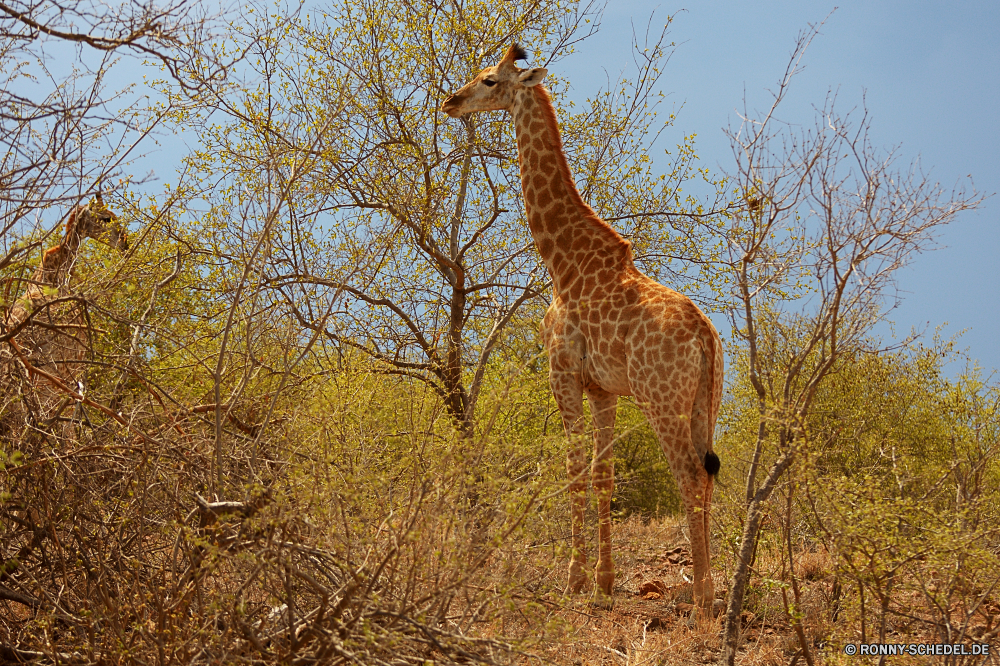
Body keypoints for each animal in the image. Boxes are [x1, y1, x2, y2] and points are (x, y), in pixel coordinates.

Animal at [442, 44, 724, 608]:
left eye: (488, 80)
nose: (450, 101)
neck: (562, 261)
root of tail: (706, 337)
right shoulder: (603, 389)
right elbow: (603, 476)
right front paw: (604, 581)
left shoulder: (564, 376)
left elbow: (573, 472)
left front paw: (573, 579)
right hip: (708, 399)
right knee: (705, 477)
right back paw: (711, 586)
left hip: (661, 399)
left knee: (687, 475)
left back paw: (703, 595)